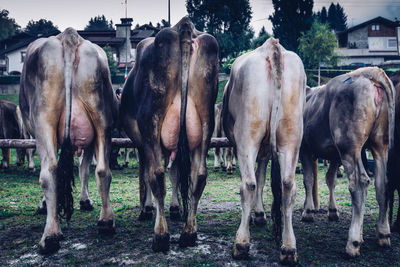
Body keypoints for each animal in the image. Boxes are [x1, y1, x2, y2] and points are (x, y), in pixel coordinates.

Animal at [19, 28, 118, 254]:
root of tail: (69, 36)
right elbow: (84, 169)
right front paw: (85, 201)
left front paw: (44, 205)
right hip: (101, 120)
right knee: (102, 170)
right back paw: (106, 222)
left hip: (43, 121)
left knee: (49, 172)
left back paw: (50, 236)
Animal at [119, 17, 219, 253]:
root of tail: (183, 27)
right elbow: (175, 173)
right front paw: (175, 208)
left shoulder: (142, 143)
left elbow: (145, 174)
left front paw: (146, 209)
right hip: (206, 124)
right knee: (199, 175)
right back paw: (189, 233)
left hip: (151, 124)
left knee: (156, 174)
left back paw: (161, 236)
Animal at [222, 37, 306, 266]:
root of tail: (273, 48)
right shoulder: (268, 149)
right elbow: (262, 176)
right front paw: (259, 214)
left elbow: (256, 179)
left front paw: (256, 215)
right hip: (291, 136)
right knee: (288, 186)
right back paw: (289, 248)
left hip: (247, 136)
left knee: (248, 184)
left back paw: (241, 244)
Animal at [300, 67, 394, 260]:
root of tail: (369, 72)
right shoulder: (334, 155)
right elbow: (330, 179)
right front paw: (332, 211)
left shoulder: (305, 149)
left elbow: (309, 179)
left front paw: (308, 212)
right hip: (380, 144)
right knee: (382, 184)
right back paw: (382, 234)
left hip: (349, 146)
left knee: (359, 184)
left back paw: (353, 243)